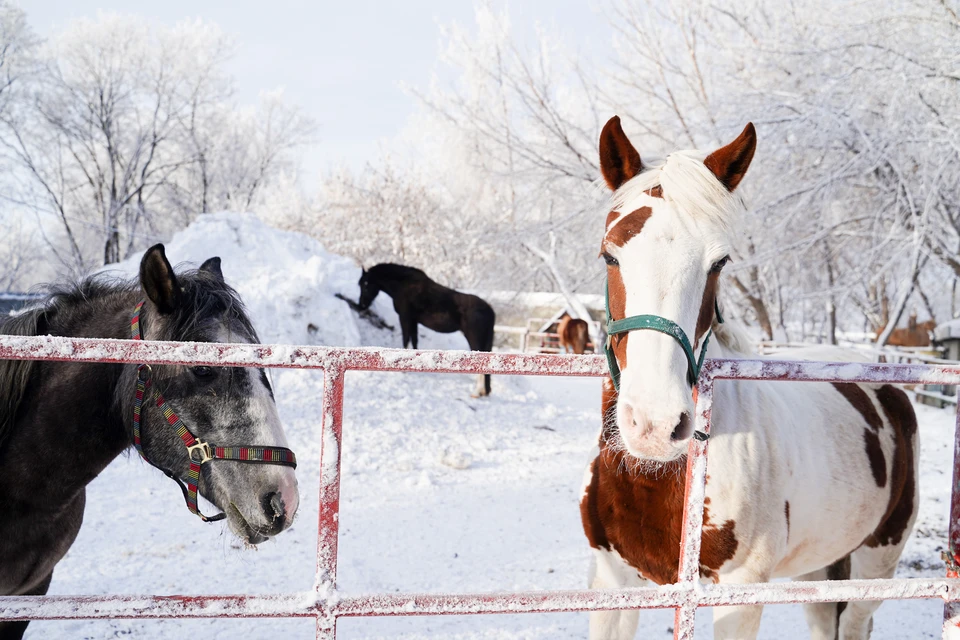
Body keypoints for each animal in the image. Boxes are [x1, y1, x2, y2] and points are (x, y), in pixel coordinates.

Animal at [358, 264, 498, 396]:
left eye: (365, 285)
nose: (361, 305)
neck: (404, 285)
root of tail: (490, 310)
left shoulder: (405, 318)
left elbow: (406, 339)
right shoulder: (414, 321)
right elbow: (414, 341)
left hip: (473, 338)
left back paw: (477, 392)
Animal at [580, 116, 920, 640]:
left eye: (719, 263)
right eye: (609, 256)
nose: (655, 425)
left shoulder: (739, 594)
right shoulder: (611, 581)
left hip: (877, 561)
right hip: (818, 569)